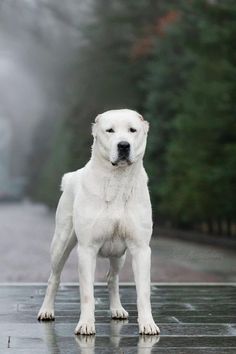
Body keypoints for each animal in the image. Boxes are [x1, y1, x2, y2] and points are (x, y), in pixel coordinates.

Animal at [37, 109, 159, 336]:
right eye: (109, 130)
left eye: (132, 130)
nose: (123, 145)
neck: (118, 180)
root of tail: (72, 176)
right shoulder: (87, 249)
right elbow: (87, 293)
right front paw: (86, 324)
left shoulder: (140, 248)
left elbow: (143, 292)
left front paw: (148, 324)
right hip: (61, 243)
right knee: (54, 277)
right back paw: (46, 311)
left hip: (120, 255)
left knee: (112, 278)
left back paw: (117, 309)